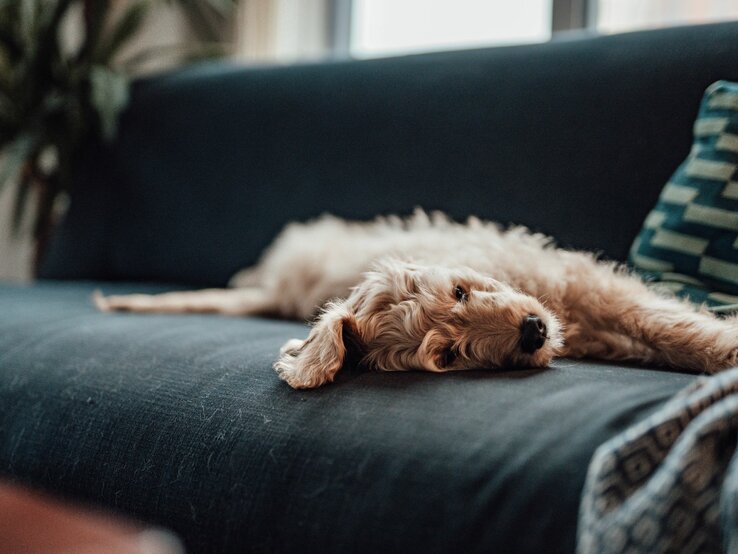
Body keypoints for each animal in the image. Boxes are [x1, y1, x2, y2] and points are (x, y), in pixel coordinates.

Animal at [95, 209, 736, 386]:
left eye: (460, 290)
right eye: (448, 356)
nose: (532, 332)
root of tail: (276, 288)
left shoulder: (586, 281)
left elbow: (662, 321)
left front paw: (721, 347)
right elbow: (660, 331)